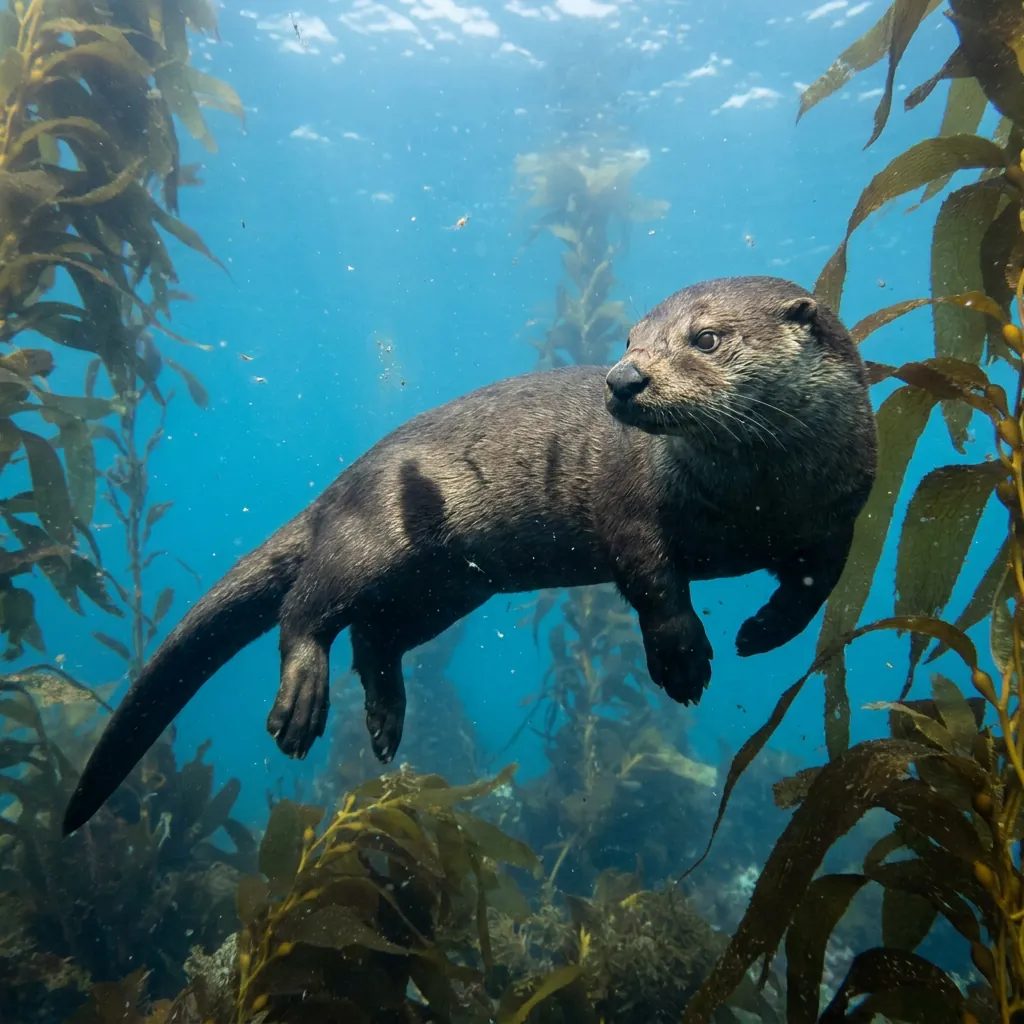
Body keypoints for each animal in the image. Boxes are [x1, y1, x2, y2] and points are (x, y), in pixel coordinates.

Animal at [62, 276, 877, 835]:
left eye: (705, 338)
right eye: (628, 341)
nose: (624, 379)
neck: (759, 500)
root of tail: (338, 487)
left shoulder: (841, 515)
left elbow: (817, 584)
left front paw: (764, 631)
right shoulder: (630, 506)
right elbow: (652, 582)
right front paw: (682, 658)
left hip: (445, 590)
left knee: (374, 636)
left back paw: (386, 722)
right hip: (373, 538)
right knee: (306, 609)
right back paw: (302, 703)